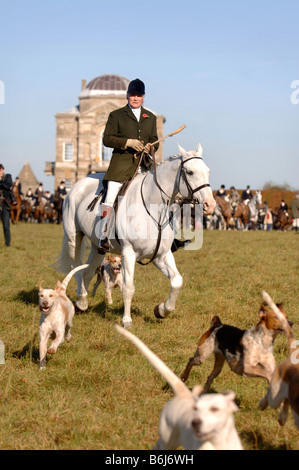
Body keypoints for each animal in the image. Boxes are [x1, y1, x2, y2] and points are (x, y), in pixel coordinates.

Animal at [55, 144, 217, 330]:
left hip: (98, 248)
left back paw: (82, 302)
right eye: (190, 172)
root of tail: (79, 183)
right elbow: (128, 287)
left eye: (208, 171)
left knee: (87, 272)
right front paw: (126, 320)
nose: (210, 205)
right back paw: (79, 302)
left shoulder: (161, 255)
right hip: (74, 238)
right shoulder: (128, 253)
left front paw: (161, 310)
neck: (154, 208)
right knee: (76, 268)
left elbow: (177, 281)